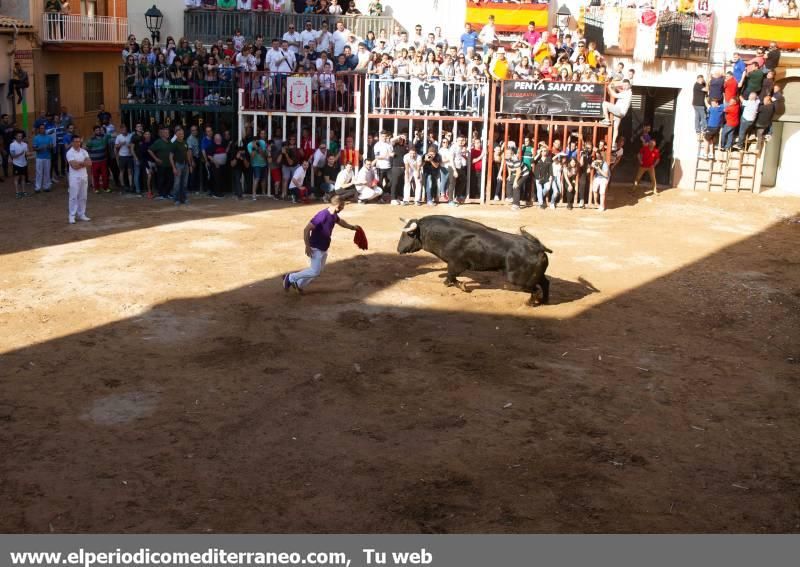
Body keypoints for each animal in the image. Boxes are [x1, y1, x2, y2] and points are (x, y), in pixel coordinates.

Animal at [396, 216, 552, 306]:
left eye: (410, 234)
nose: (398, 249)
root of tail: (538, 248)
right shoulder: (454, 265)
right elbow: (451, 278)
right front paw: (461, 285)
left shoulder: (456, 264)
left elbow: (450, 277)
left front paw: (461, 286)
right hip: (534, 277)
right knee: (545, 283)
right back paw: (544, 301)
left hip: (520, 281)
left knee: (535, 289)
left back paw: (530, 303)